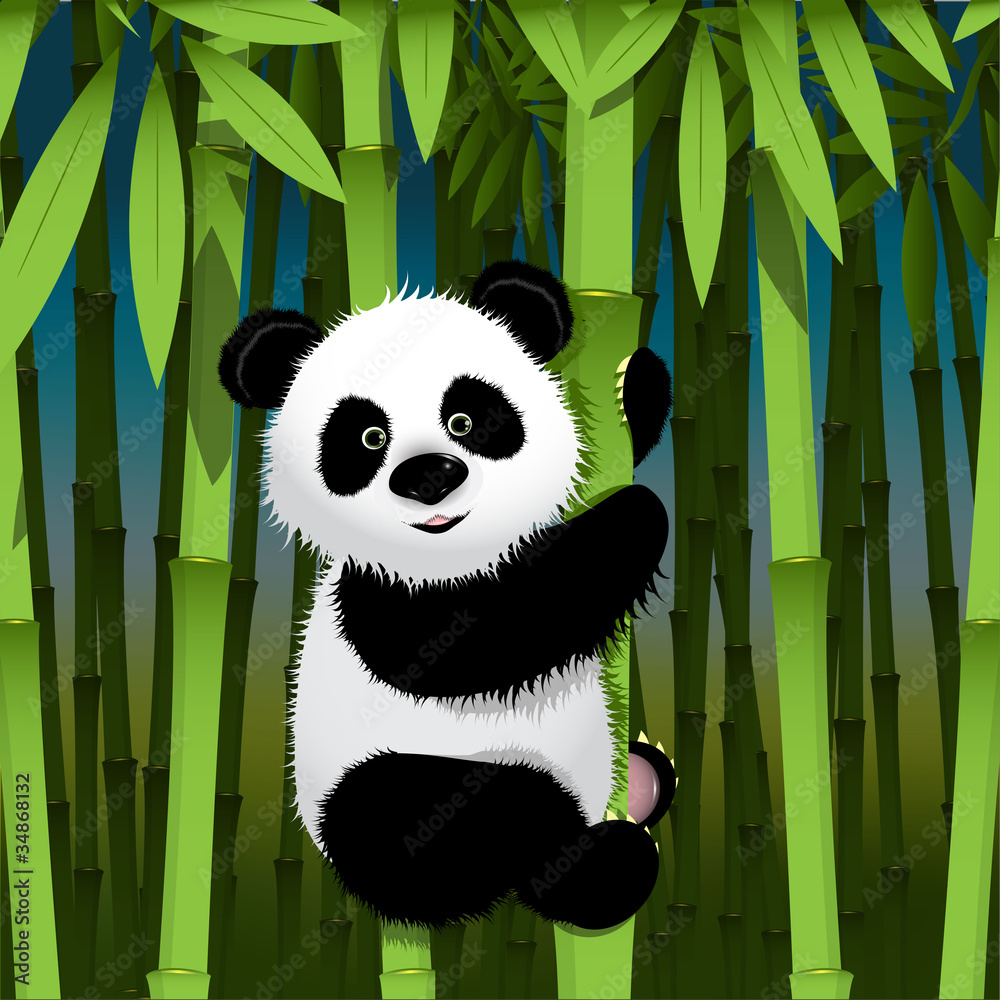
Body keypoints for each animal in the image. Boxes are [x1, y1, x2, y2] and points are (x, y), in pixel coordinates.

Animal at [219, 260, 676, 931]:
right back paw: (598, 867)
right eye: (367, 437)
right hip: (376, 789)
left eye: (467, 419)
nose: (428, 477)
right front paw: (633, 516)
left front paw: (637, 385)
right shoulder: (377, 590)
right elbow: (468, 642)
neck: (457, 554)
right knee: (453, 814)